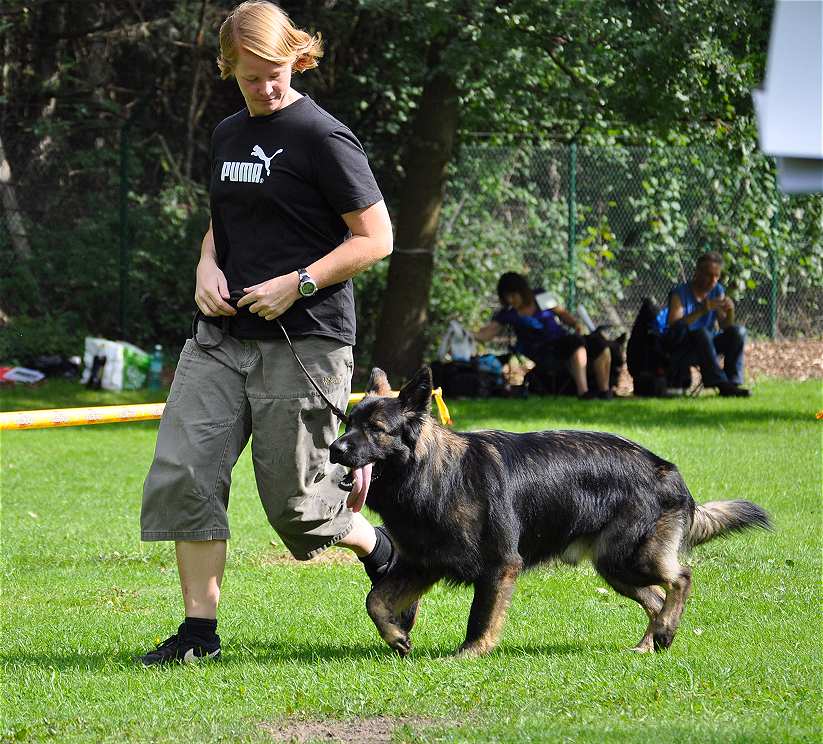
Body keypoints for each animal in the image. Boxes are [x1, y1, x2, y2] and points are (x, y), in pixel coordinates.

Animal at [329, 366, 771, 658]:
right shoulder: (423, 563)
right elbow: (375, 600)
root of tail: (668, 470)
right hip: (615, 567)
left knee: (680, 578)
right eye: (348, 423)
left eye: (376, 429)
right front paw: (397, 638)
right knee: (656, 596)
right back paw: (652, 641)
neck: (436, 475)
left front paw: (470, 654)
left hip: (630, 557)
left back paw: (663, 632)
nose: (335, 449)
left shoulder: (499, 565)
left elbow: (480, 617)